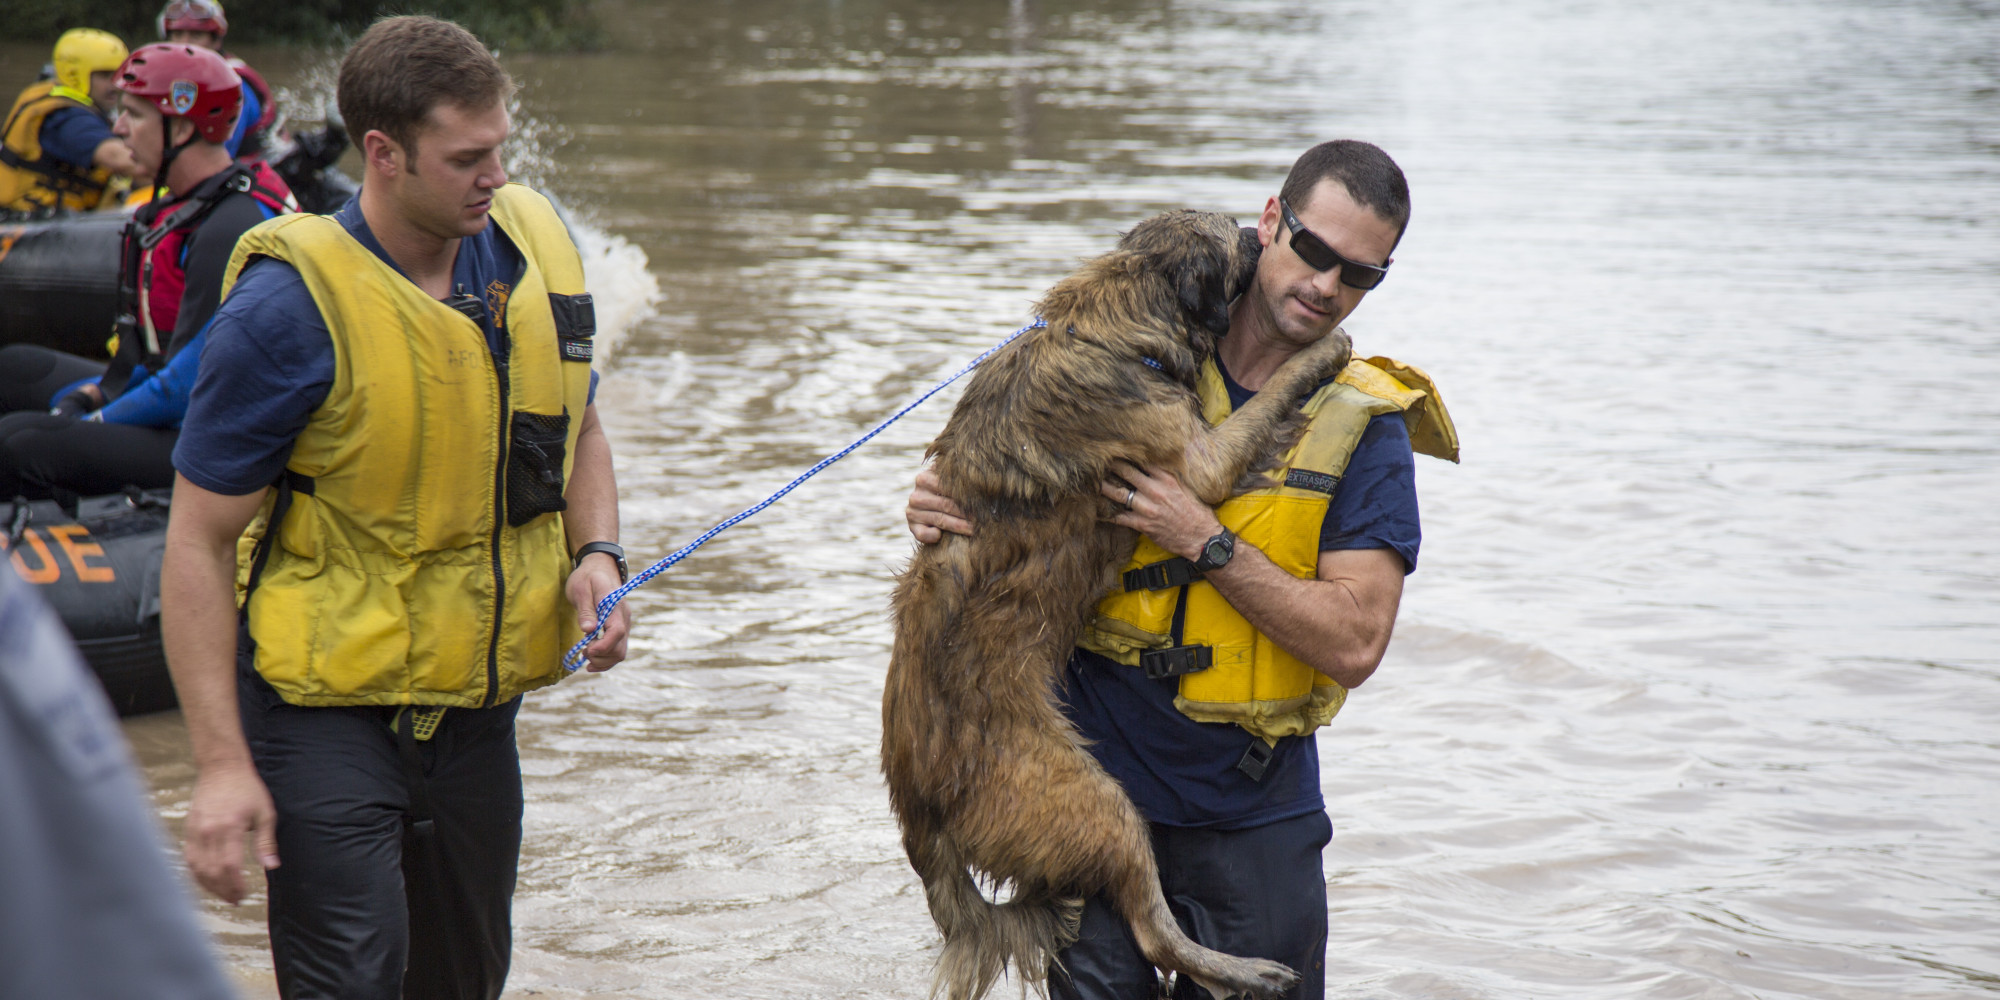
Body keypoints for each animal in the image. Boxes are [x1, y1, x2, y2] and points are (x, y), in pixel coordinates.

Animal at [884, 207, 1352, 996]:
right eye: (1233, 232)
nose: (1261, 235)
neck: (1108, 325)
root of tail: (919, 807)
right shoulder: (1197, 462)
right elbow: (1274, 392)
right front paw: (1323, 350)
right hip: (1098, 804)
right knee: (1155, 928)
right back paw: (1246, 968)